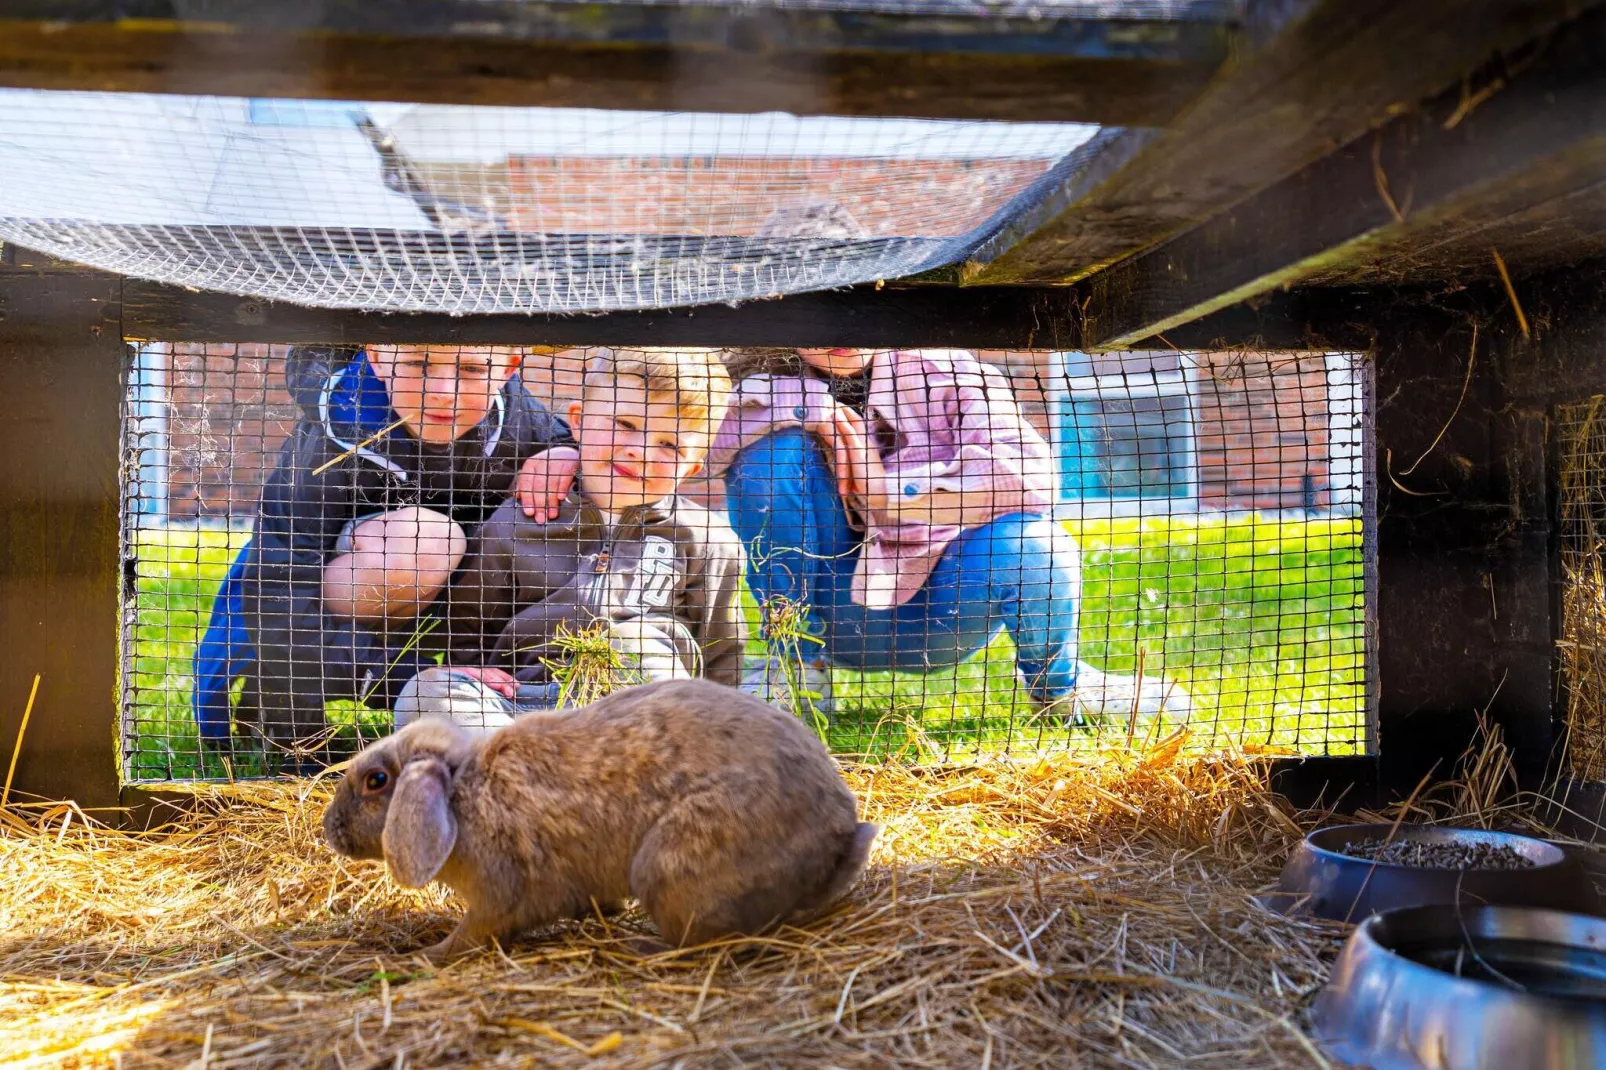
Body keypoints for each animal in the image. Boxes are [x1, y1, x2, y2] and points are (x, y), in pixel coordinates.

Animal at [322, 674, 880, 957]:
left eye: (377, 781)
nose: (332, 830)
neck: (463, 793)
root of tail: (838, 836)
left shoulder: (497, 896)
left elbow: (473, 933)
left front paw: (424, 957)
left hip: (669, 867)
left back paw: (643, 948)